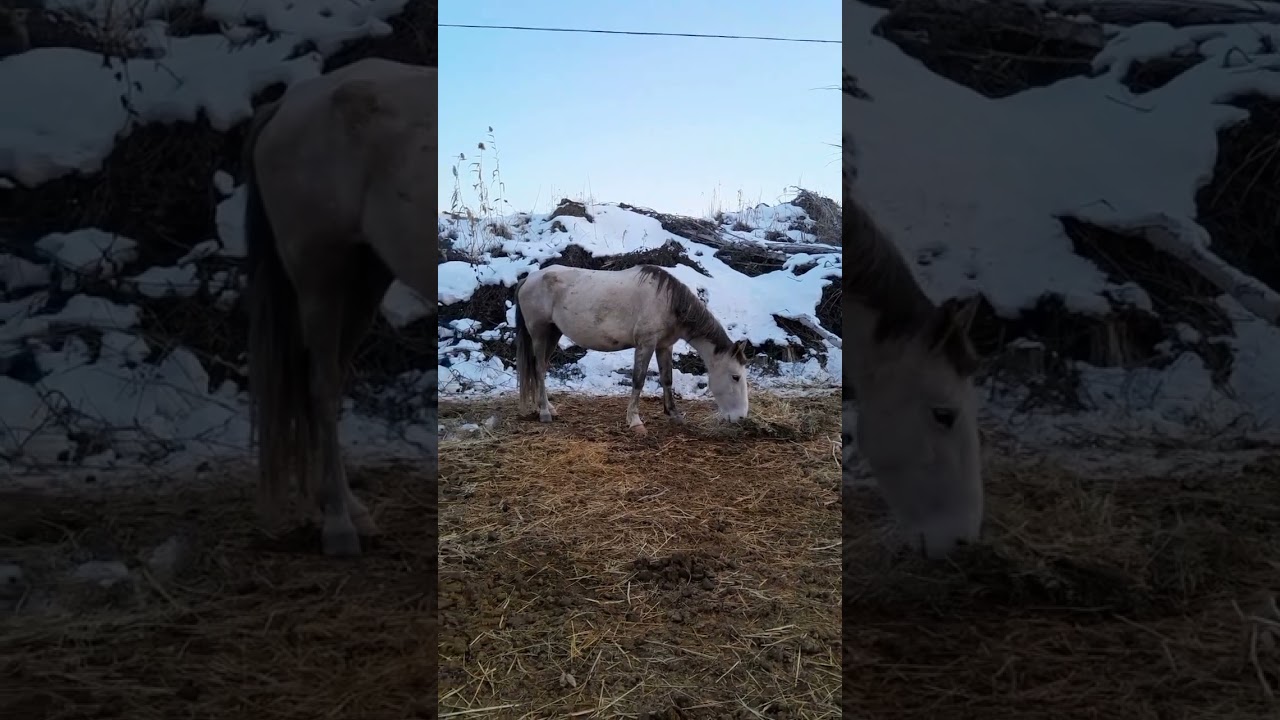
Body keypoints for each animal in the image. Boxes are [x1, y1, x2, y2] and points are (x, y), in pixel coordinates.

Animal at [241, 58, 437, 557]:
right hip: (320, 273)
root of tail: (288, 102)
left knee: (327, 381)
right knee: (321, 384)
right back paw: (338, 527)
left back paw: (347, 509)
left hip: (365, 276)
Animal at [512, 264, 750, 435]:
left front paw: (674, 415)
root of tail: (528, 278)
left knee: (539, 369)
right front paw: (635, 421)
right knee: (539, 370)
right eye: (735, 377)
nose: (741, 417)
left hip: (553, 333)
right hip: (540, 334)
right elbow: (638, 379)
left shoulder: (664, 346)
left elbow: (667, 379)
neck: (667, 302)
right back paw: (545, 413)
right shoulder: (646, 344)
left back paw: (547, 407)